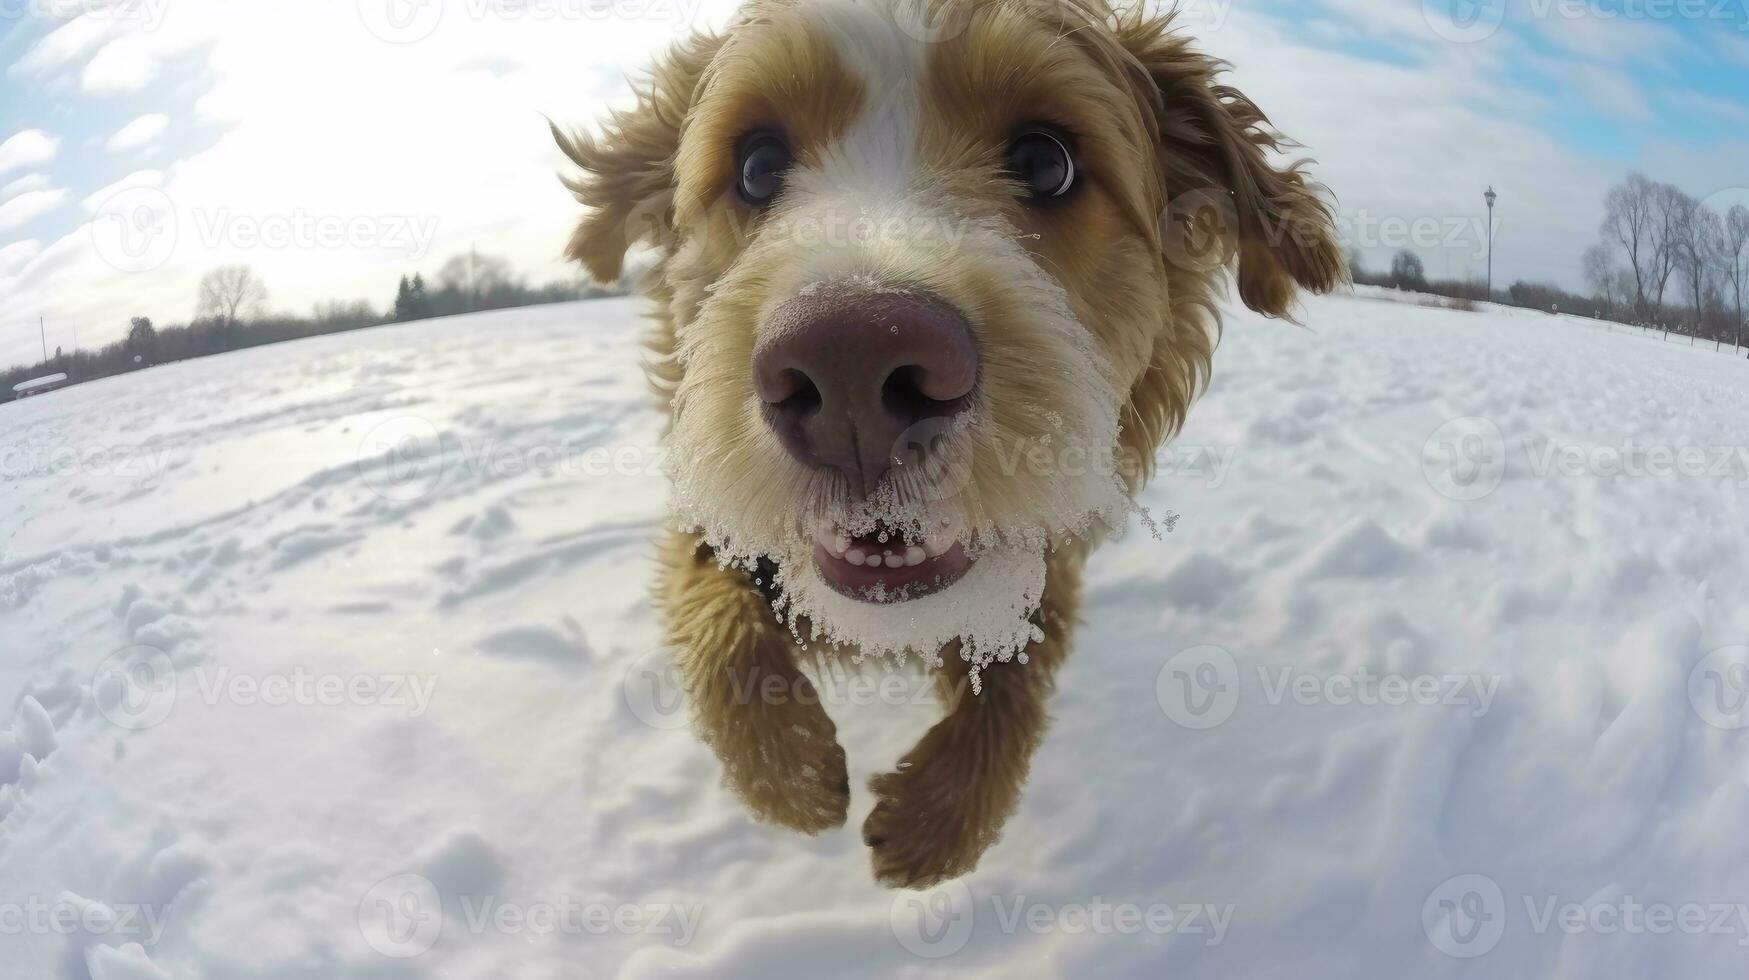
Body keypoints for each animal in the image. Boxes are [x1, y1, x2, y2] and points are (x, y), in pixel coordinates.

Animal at [559, 0, 1336, 889]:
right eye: (756, 165)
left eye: (1044, 160)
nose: (851, 360)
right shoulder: (711, 515)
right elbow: (715, 617)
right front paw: (789, 776)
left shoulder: (1049, 549)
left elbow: (1019, 667)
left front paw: (939, 819)